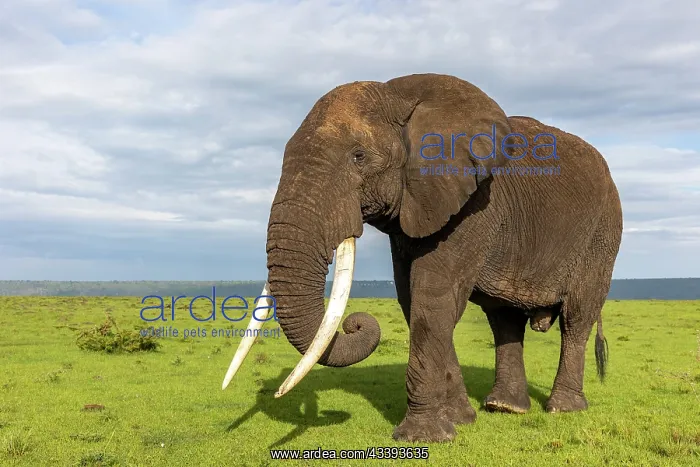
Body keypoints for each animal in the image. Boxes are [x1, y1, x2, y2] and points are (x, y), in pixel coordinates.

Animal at [221, 73, 623, 443]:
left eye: (359, 157)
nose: (354, 323)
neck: (400, 95)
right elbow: (411, 298)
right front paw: (460, 420)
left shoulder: (475, 202)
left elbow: (433, 297)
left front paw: (423, 437)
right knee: (504, 319)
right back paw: (504, 407)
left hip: (603, 232)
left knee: (577, 317)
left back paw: (562, 408)